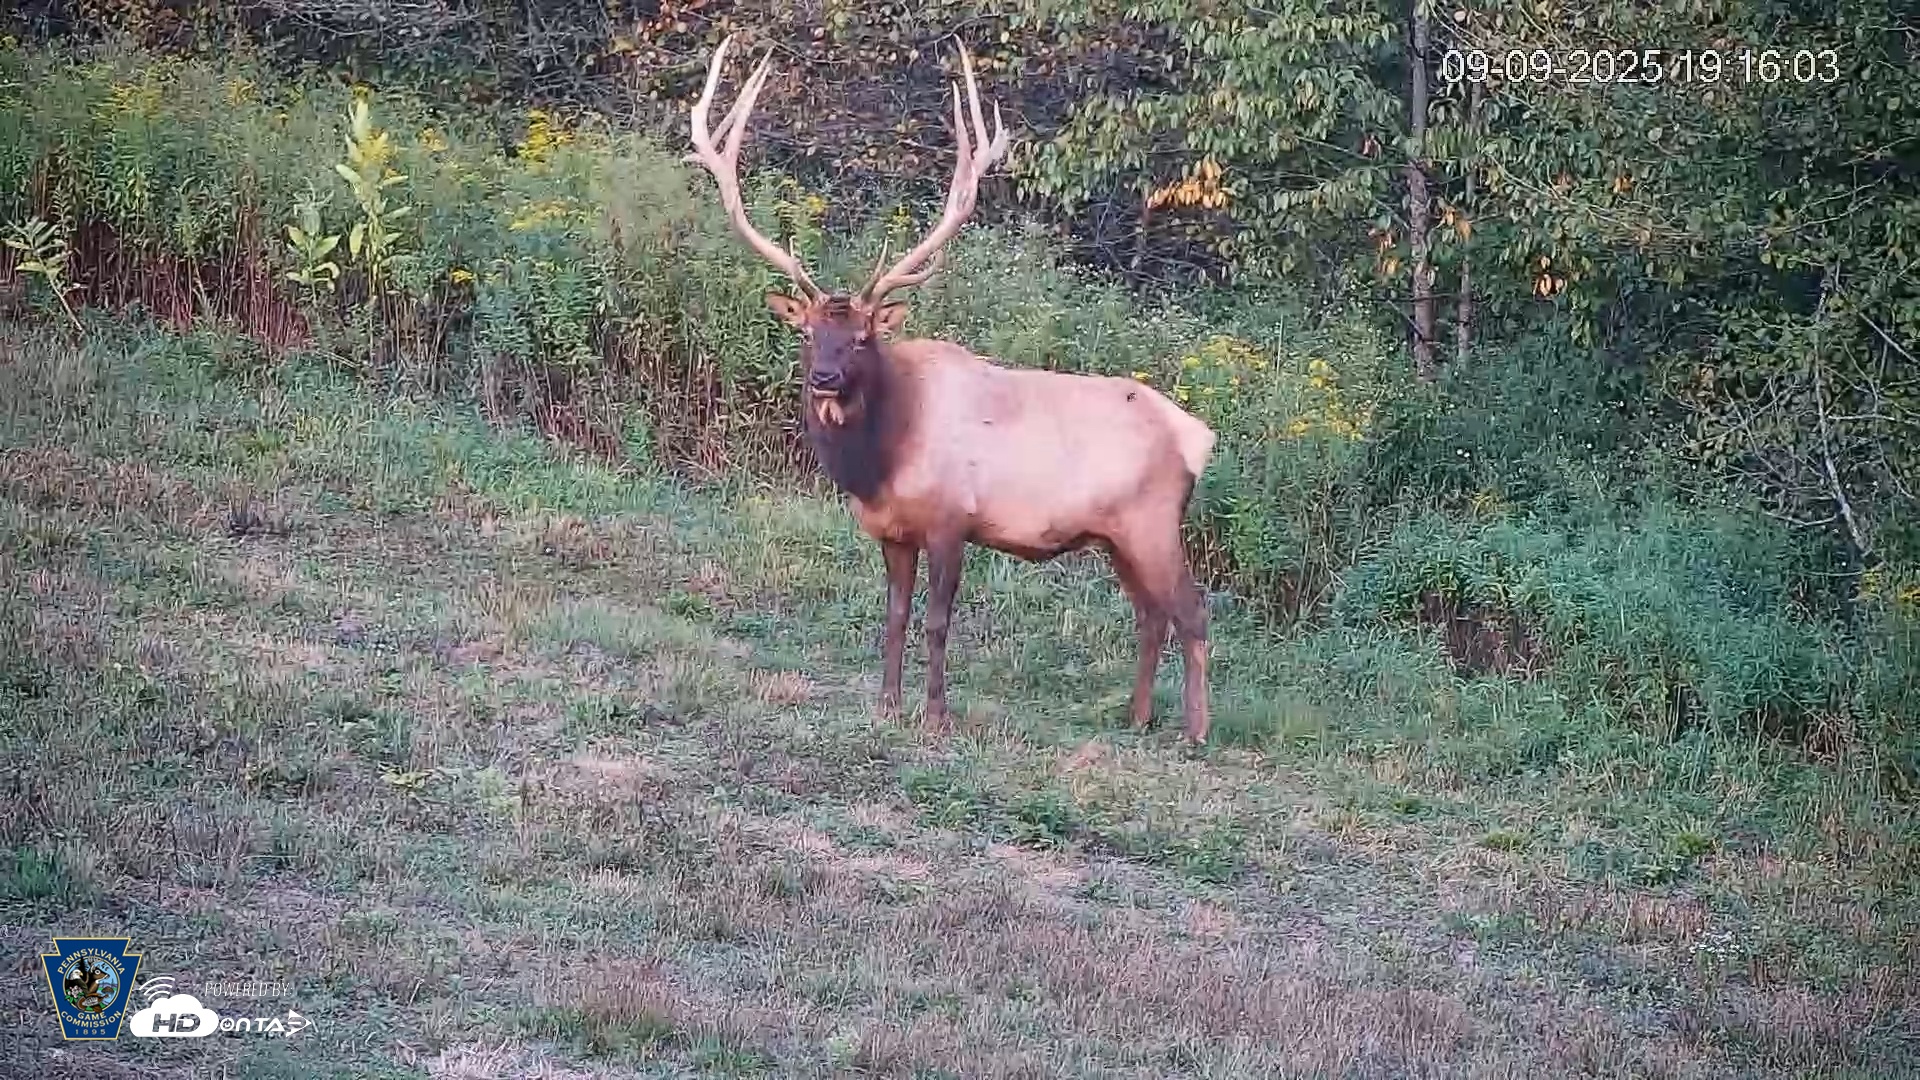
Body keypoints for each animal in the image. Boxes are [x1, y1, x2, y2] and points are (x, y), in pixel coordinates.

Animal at [685, 36, 1219, 743]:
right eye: (807, 333)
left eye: (863, 337)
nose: (825, 377)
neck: (880, 462)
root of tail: (1198, 438)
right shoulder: (890, 530)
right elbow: (895, 616)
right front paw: (886, 704)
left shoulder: (950, 520)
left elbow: (939, 622)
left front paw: (935, 716)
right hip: (1117, 537)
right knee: (1150, 613)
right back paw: (1136, 718)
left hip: (1152, 522)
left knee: (1192, 608)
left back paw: (1195, 731)